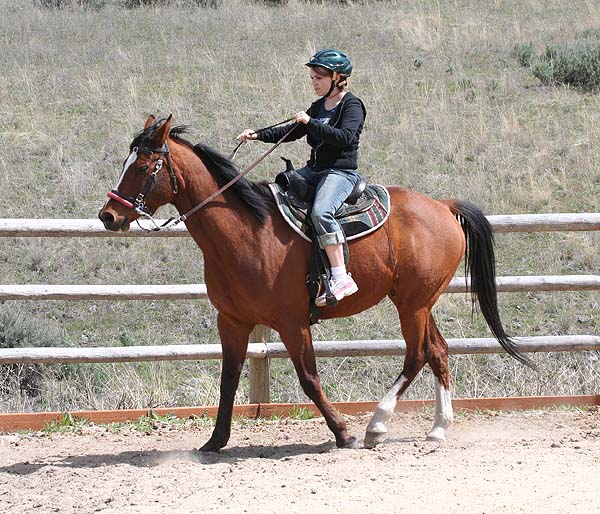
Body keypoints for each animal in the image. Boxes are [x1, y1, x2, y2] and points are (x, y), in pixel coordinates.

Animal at [98, 115, 528, 448]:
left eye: (143, 167)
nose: (108, 216)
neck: (247, 232)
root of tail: (442, 206)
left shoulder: (293, 323)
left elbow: (308, 378)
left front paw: (342, 432)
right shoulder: (232, 322)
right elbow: (228, 379)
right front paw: (215, 441)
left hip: (412, 304)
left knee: (418, 353)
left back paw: (376, 425)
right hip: (419, 301)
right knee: (437, 350)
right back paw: (438, 428)